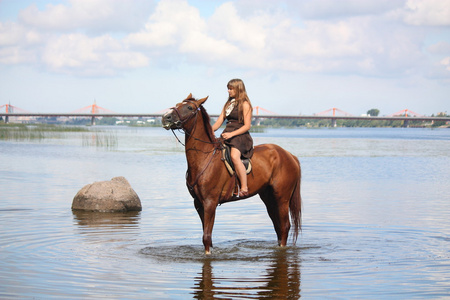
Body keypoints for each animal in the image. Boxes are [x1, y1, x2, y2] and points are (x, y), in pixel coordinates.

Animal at [163, 94, 302, 253]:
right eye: (177, 104)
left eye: (189, 107)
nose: (165, 117)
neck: (204, 157)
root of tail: (290, 155)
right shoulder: (198, 203)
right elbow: (207, 237)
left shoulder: (210, 202)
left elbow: (206, 237)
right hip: (269, 198)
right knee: (278, 227)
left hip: (282, 198)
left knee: (285, 226)